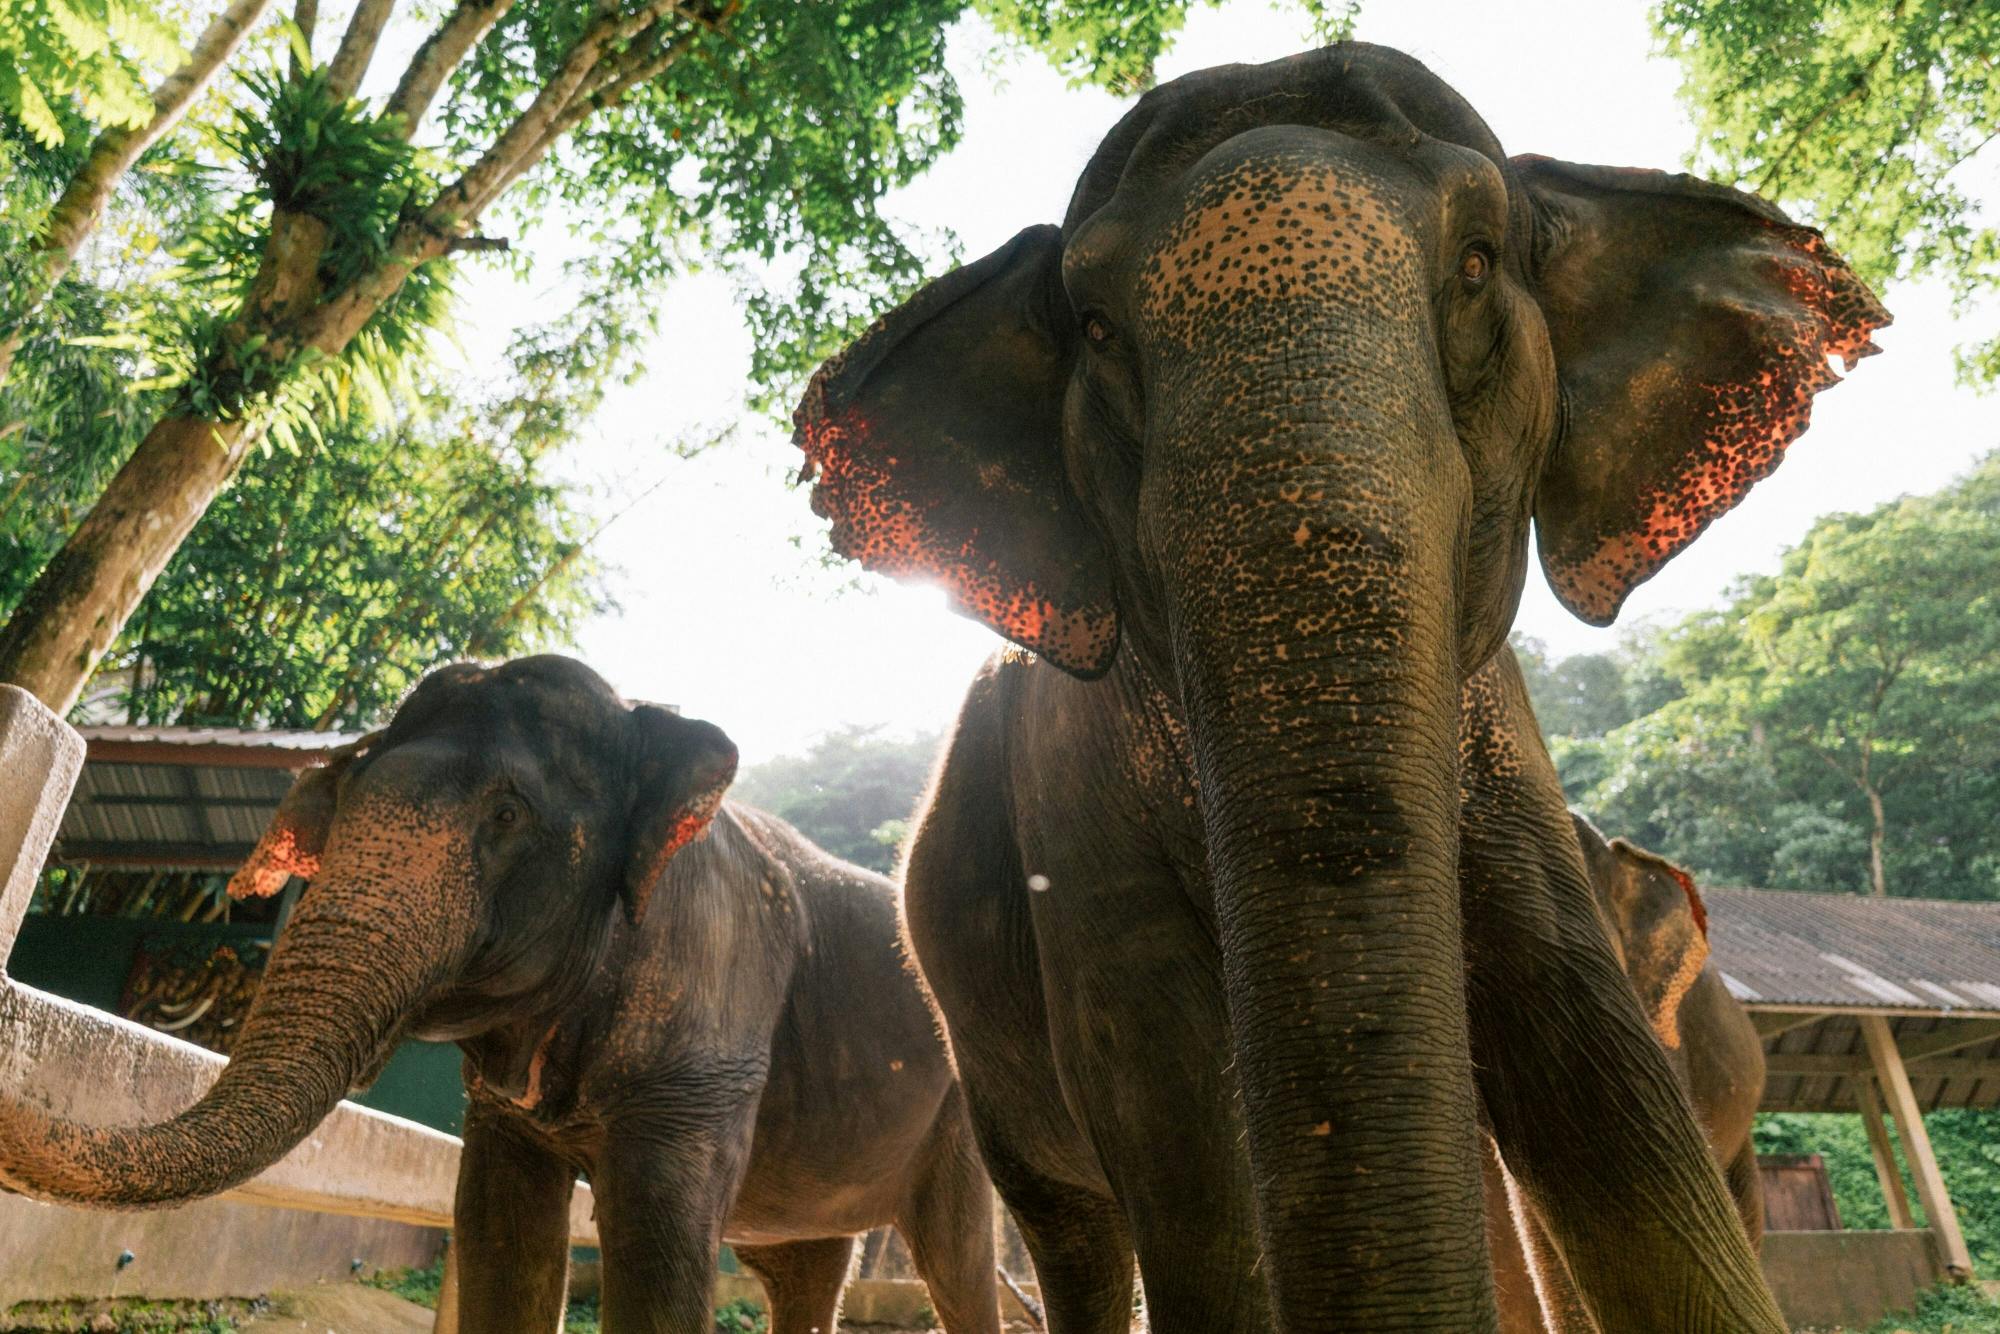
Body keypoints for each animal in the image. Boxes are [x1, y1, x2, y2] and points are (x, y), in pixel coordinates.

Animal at [0, 656, 1002, 1334]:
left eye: (508, 816)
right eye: (346, 795)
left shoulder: (709, 1020)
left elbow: (658, 1246)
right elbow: (501, 1235)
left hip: (963, 1113)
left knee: (958, 1259)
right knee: (804, 1269)